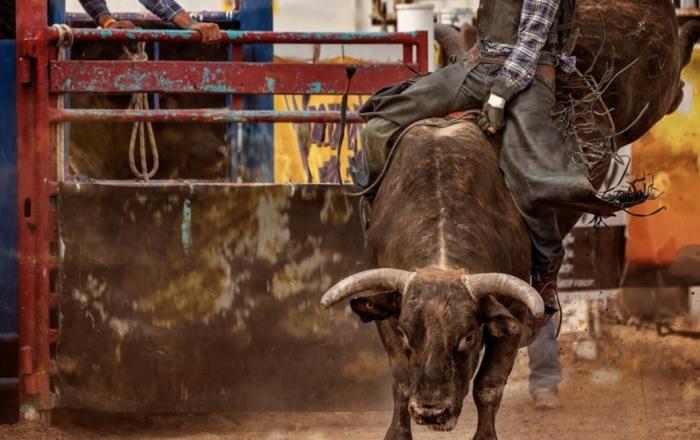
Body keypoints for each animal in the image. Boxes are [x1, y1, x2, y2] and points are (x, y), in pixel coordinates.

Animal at [320, 0, 696, 440]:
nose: (432, 411)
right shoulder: (388, 313)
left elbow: (488, 387)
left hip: (646, 93)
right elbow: (400, 379)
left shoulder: (511, 319)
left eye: (468, 338)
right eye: (412, 337)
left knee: (675, 83)